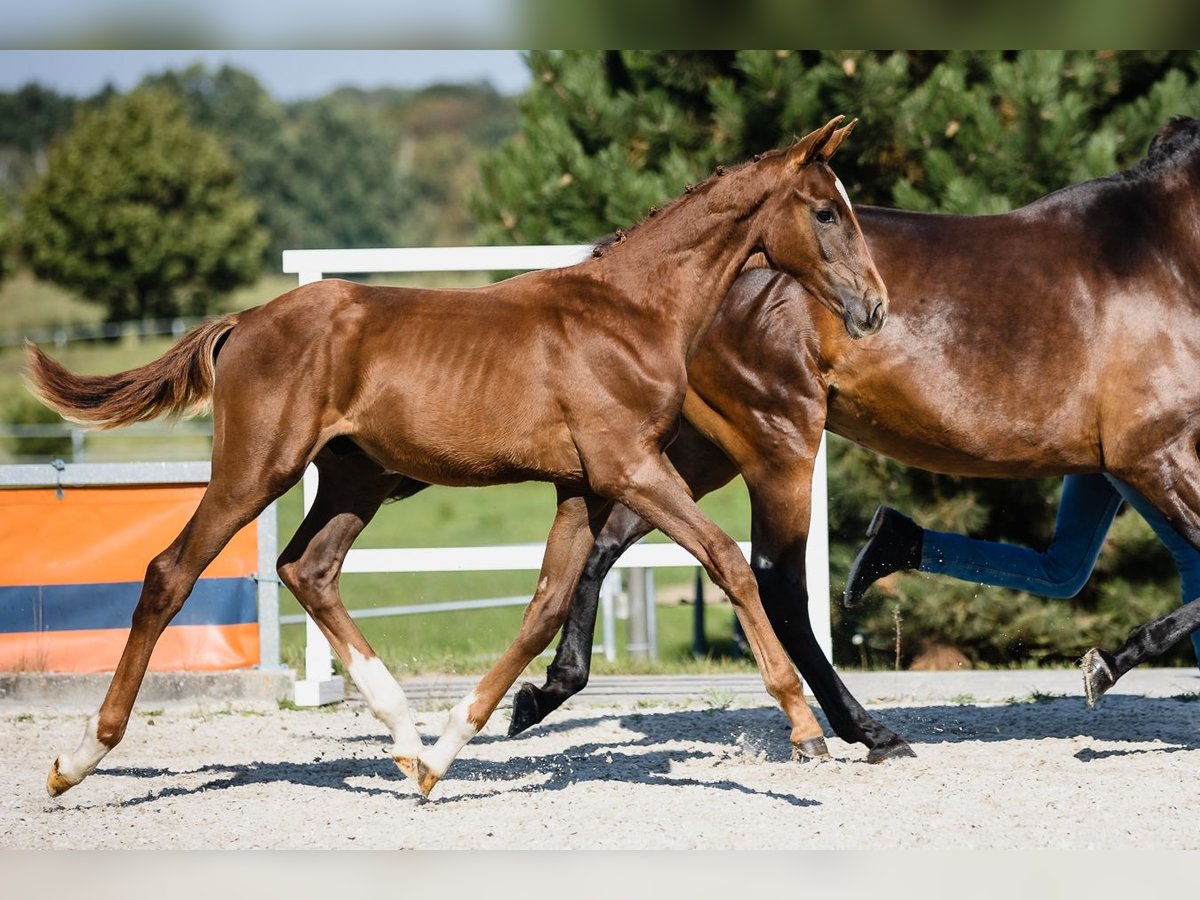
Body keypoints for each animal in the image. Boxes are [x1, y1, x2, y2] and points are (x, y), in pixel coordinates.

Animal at [21, 116, 892, 801]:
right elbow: (728, 560)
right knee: (170, 574)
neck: (631, 312)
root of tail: (245, 321)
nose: (875, 308)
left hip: (356, 476)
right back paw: (76, 760)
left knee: (309, 567)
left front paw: (448, 753)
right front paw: (807, 728)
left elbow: (544, 606)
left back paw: (407, 740)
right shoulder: (629, 468)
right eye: (825, 212)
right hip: (257, 469)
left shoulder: (580, 485)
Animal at [516, 114, 1200, 763]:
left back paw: (546, 691)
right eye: (825, 212)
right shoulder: (1154, 456)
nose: (873, 310)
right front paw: (1106, 665)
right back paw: (865, 731)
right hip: (777, 439)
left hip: (694, 451)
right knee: (776, 583)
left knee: (608, 543)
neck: (1165, 256)